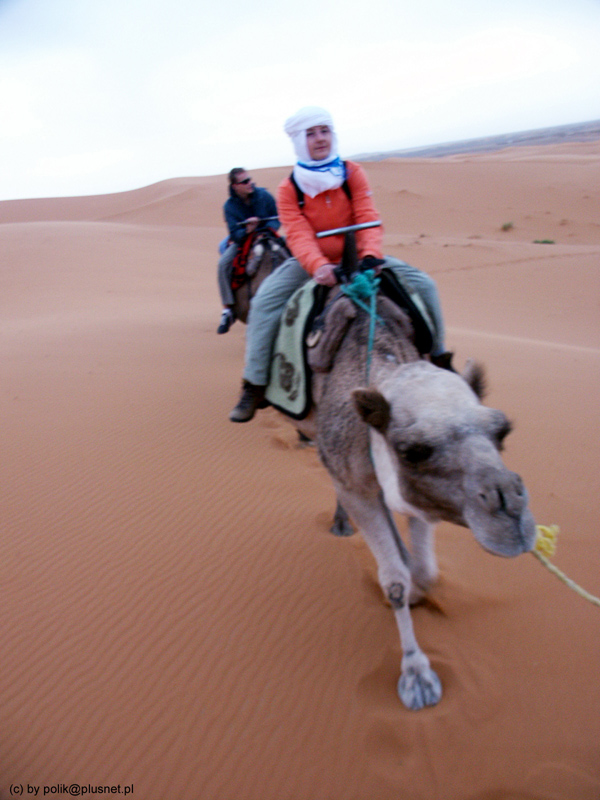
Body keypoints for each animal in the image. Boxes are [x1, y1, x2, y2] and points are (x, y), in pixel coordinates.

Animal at [282, 234, 540, 708]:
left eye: (503, 430)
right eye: (413, 450)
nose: (511, 512)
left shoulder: (419, 497)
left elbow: (422, 572)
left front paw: (419, 588)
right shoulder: (359, 481)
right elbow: (395, 579)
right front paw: (417, 675)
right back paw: (341, 524)